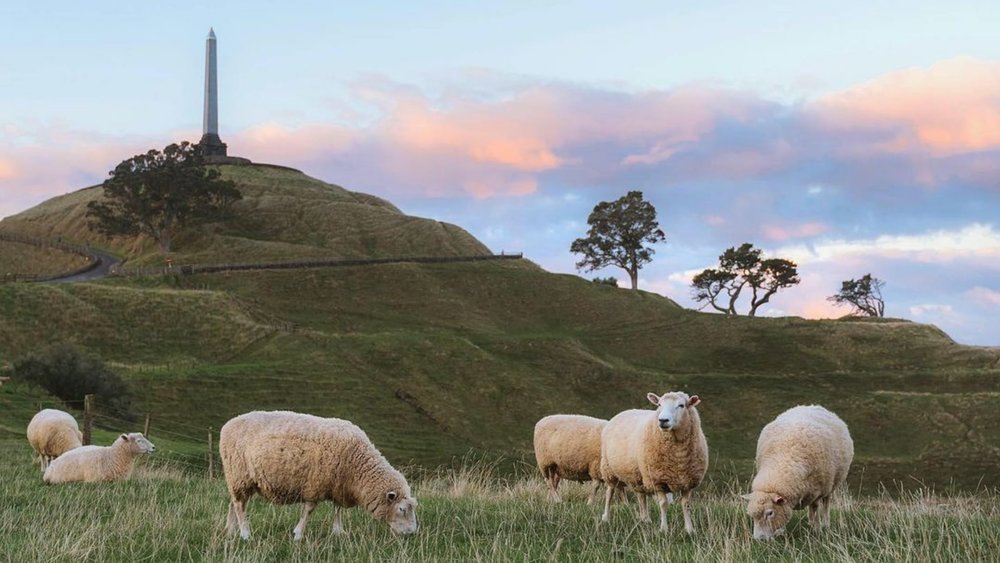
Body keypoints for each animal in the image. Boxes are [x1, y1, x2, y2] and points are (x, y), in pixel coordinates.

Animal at [219, 410, 418, 541]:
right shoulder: (315, 484)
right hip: (240, 475)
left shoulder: (339, 485)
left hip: (237, 479)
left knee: (234, 502)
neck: (357, 465)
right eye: (402, 509)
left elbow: (337, 509)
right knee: (239, 505)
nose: (412, 533)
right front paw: (298, 534)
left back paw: (230, 530)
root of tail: (228, 424)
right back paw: (245, 534)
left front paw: (338, 531)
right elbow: (309, 510)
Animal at [600, 391, 708, 534]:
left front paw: (690, 530)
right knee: (609, 493)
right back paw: (605, 518)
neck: (678, 458)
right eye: (659, 404)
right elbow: (663, 503)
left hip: (638, 475)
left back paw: (645, 519)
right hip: (609, 470)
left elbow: (686, 504)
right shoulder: (657, 480)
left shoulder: (688, 482)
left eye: (681, 405)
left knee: (641, 496)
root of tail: (624, 411)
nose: (663, 420)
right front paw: (664, 529)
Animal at [742, 405, 853, 540]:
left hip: (830, 484)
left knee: (826, 503)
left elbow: (815, 508)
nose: (759, 540)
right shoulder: (790, 500)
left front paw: (817, 530)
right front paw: (781, 531)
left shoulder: (816, 491)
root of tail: (813, 406)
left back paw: (825, 524)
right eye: (752, 516)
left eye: (770, 513)